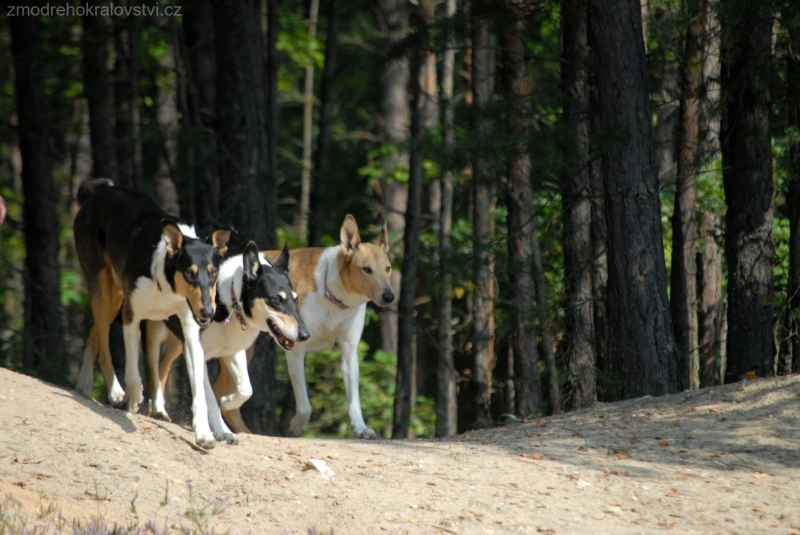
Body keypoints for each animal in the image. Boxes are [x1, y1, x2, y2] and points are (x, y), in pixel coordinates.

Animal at [74, 179, 230, 448]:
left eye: (213, 272)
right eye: (189, 273)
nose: (208, 312)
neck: (168, 285)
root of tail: (97, 191)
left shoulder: (189, 333)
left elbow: (199, 390)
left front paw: (204, 434)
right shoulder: (132, 316)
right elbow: (134, 370)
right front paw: (133, 397)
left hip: (116, 298)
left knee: (95, 332)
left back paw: (85, 384)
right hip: (106, 291)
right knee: (104, 345)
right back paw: (115, 391)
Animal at [206, 215, 394, 440]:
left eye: (388, 268)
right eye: (366, 269)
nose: (390, 296)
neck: (332, 296)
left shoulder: (349, 351)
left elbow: (354, 400)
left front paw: (361, 428)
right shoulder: (296, 349)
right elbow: (305, 406)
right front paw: (296, 426)